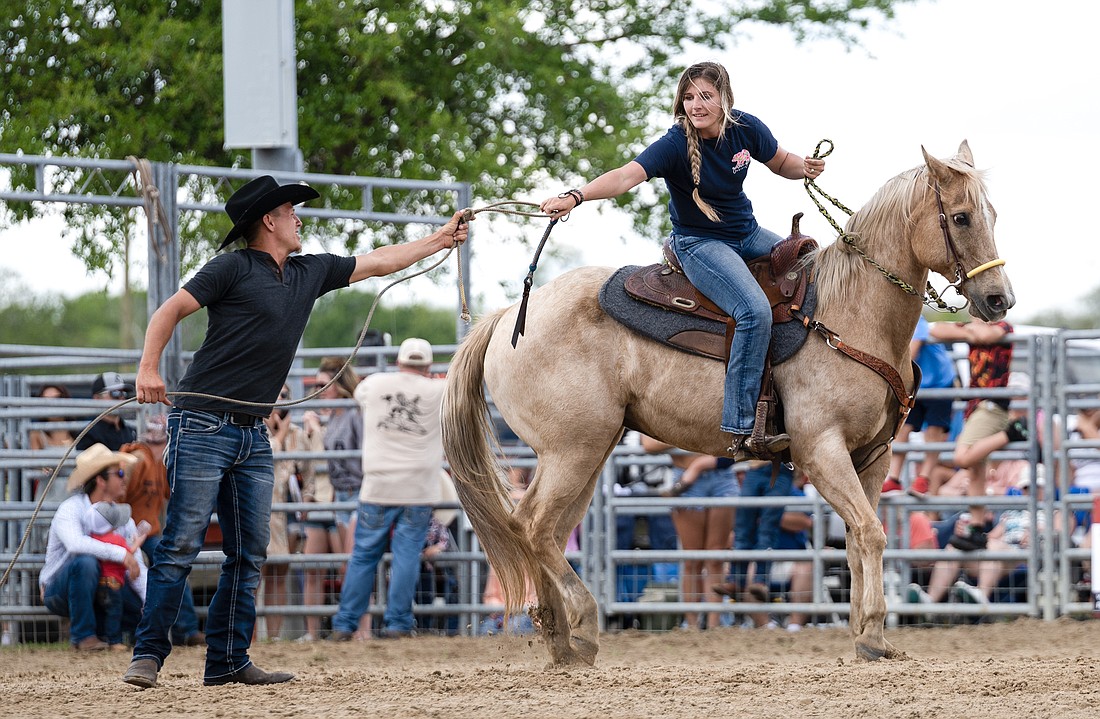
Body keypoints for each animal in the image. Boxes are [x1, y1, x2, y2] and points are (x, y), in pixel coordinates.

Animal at [442, 141, 1014, 666]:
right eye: (960, 217)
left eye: (993, 214)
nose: (999, 299)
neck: (850, 312)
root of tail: (510, 313)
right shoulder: (821, 450)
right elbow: (871, 533)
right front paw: (872, 634)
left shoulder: (873, 455)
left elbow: (859, 538)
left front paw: (869, 634)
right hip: (572, 449)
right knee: (534, 524)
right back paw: (580, 625)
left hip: (588, 450)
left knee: (547, 530)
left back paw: (560, 637)